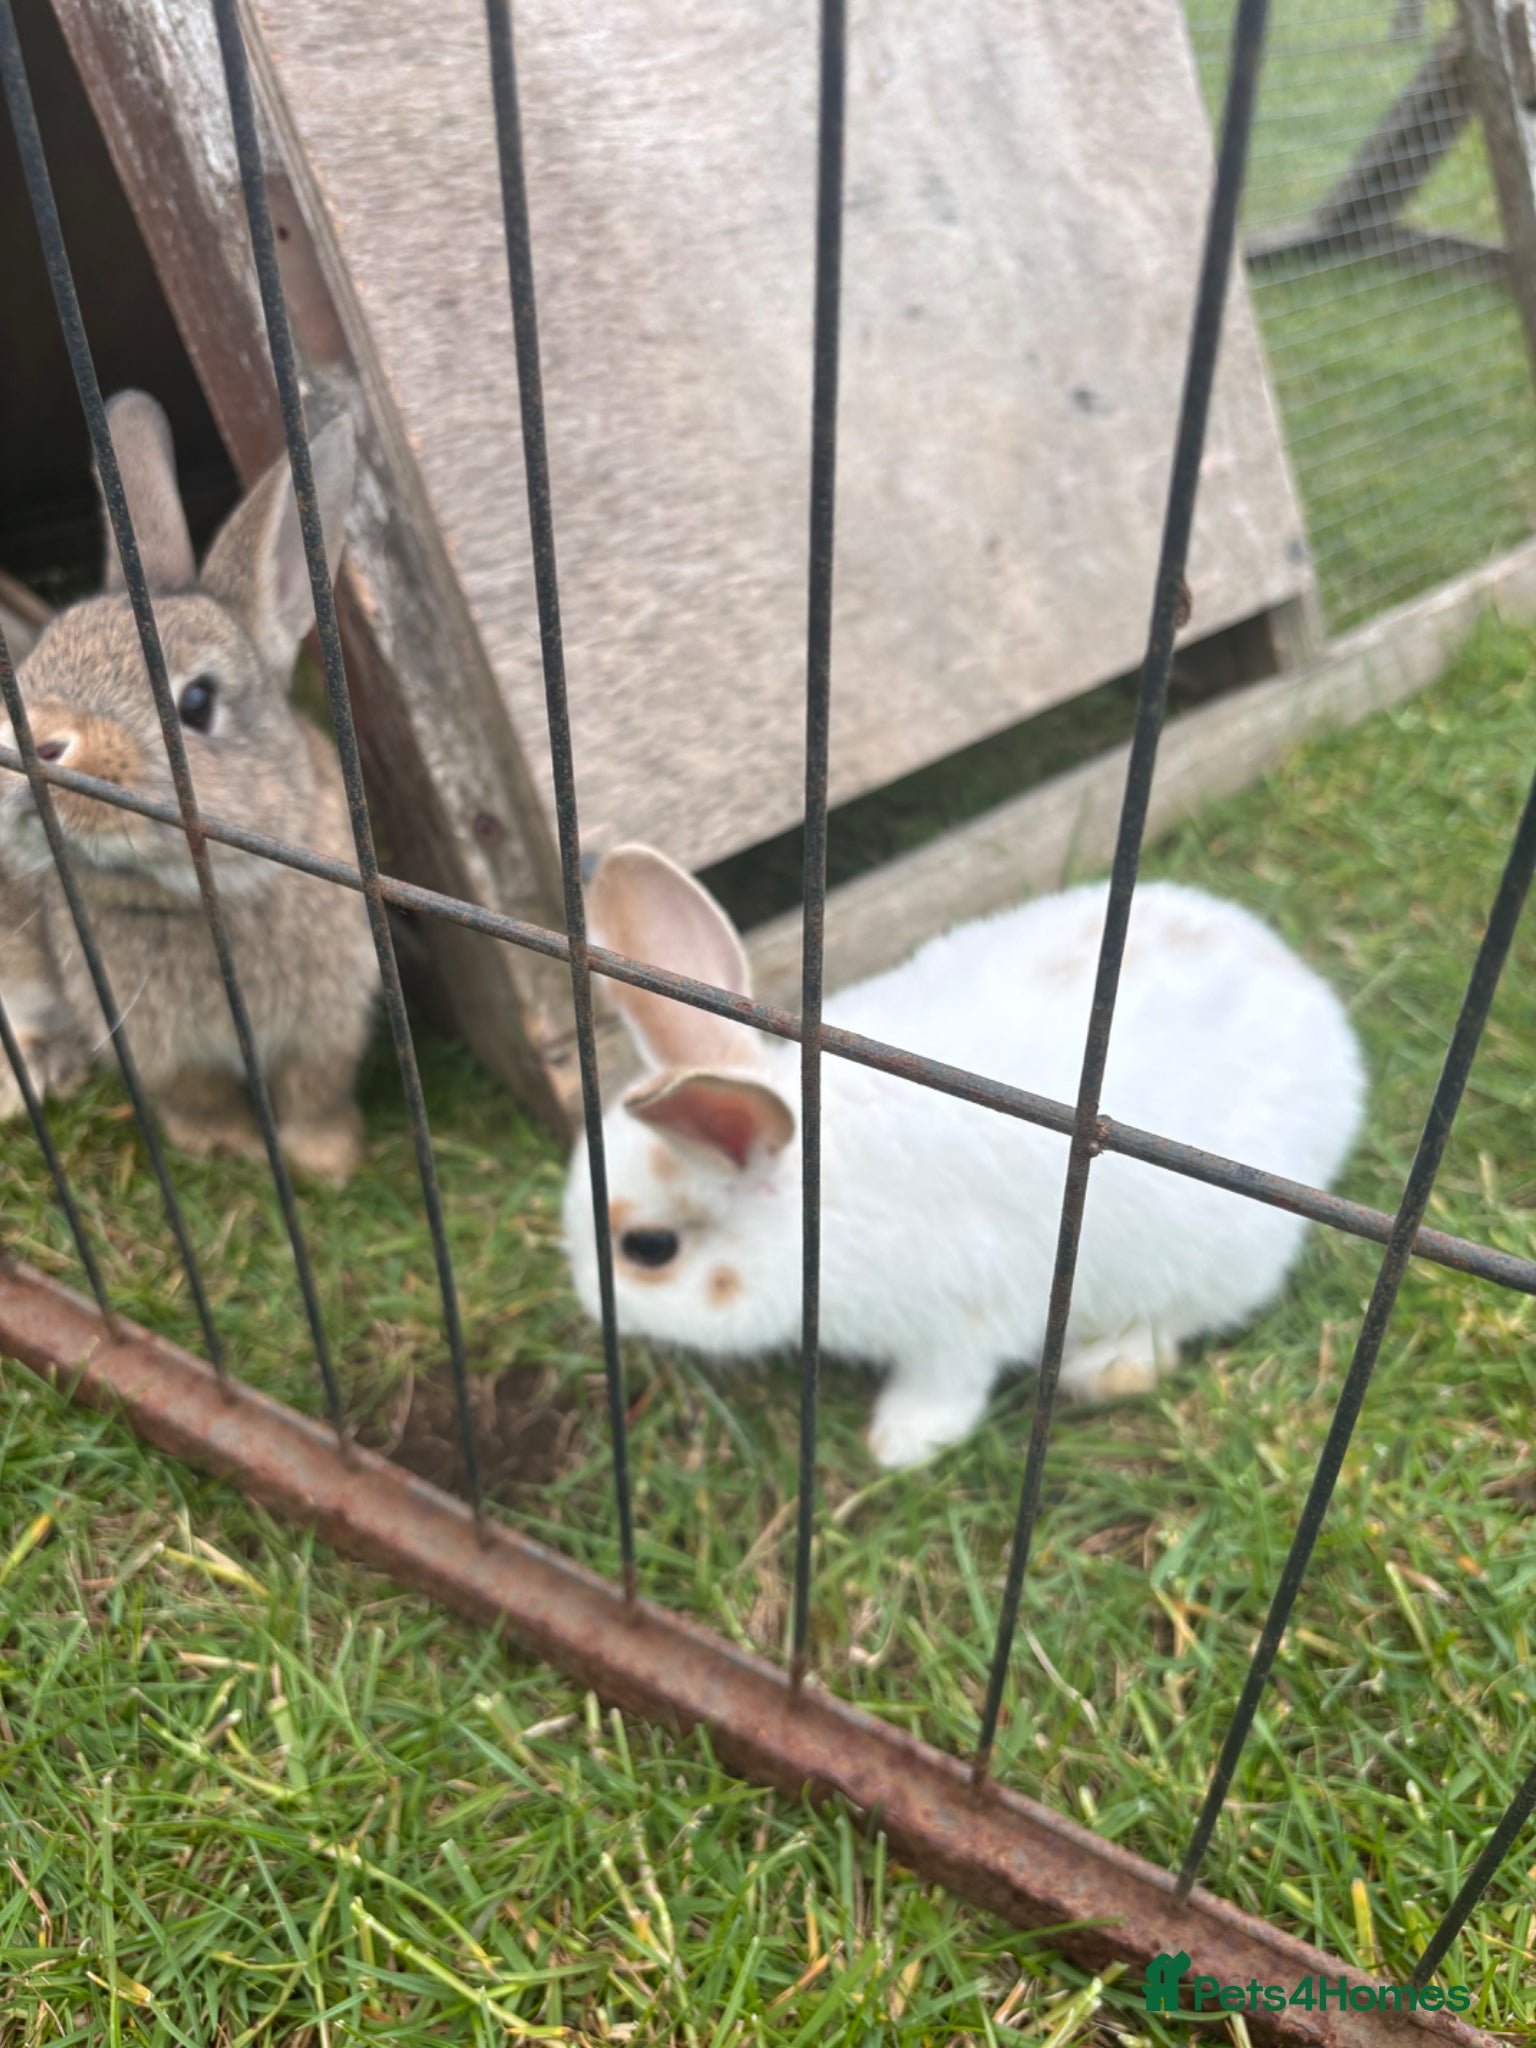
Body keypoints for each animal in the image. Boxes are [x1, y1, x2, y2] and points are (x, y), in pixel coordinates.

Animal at [0, 391, 379, 1183]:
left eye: (198, 702)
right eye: (34, 669)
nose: (32, 743)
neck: (197, 894)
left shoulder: (327, 1027)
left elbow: (314, 1094)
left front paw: (327, 1162)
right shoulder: (160, 1052)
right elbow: (199, 1103)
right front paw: (230, 1150)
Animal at [562, 844, 1366, 1469]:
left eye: (649, 1249)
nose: (590, 1308)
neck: (815, 1204)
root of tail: (1326, 1022)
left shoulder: (960, 1321)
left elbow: (945, 1386)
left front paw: (898, 1445)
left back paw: (1110, 1370)